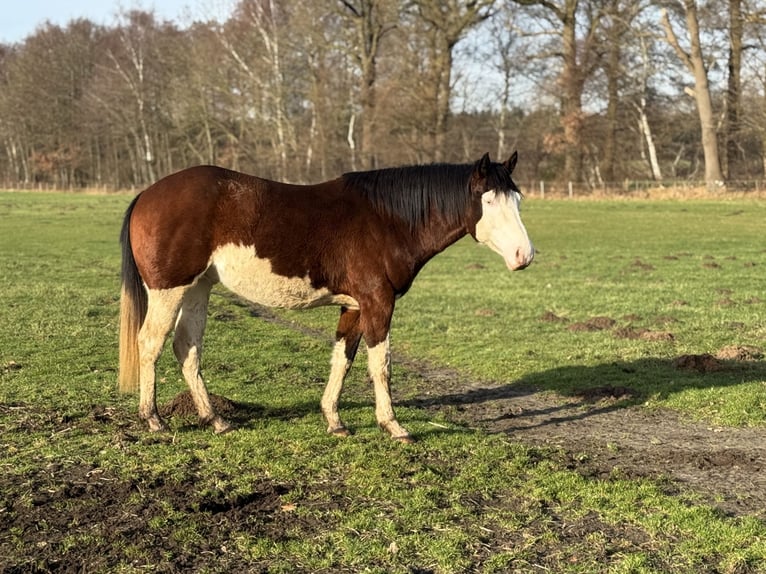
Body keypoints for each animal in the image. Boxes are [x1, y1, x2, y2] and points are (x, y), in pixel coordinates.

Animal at [118, 152, 534, 442]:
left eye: (518, 199)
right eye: (488, 201)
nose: (524, 255)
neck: (386, 219)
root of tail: (147, 194)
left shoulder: (353, 306)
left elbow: (342, 361)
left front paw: (334, 421)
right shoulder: (378, 303)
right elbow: (380, 365)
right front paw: (393, 425)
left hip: (198, 289)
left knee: (187, 349)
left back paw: (215, 419)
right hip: (169, 290)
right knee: (150, 343)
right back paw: (153, 419)